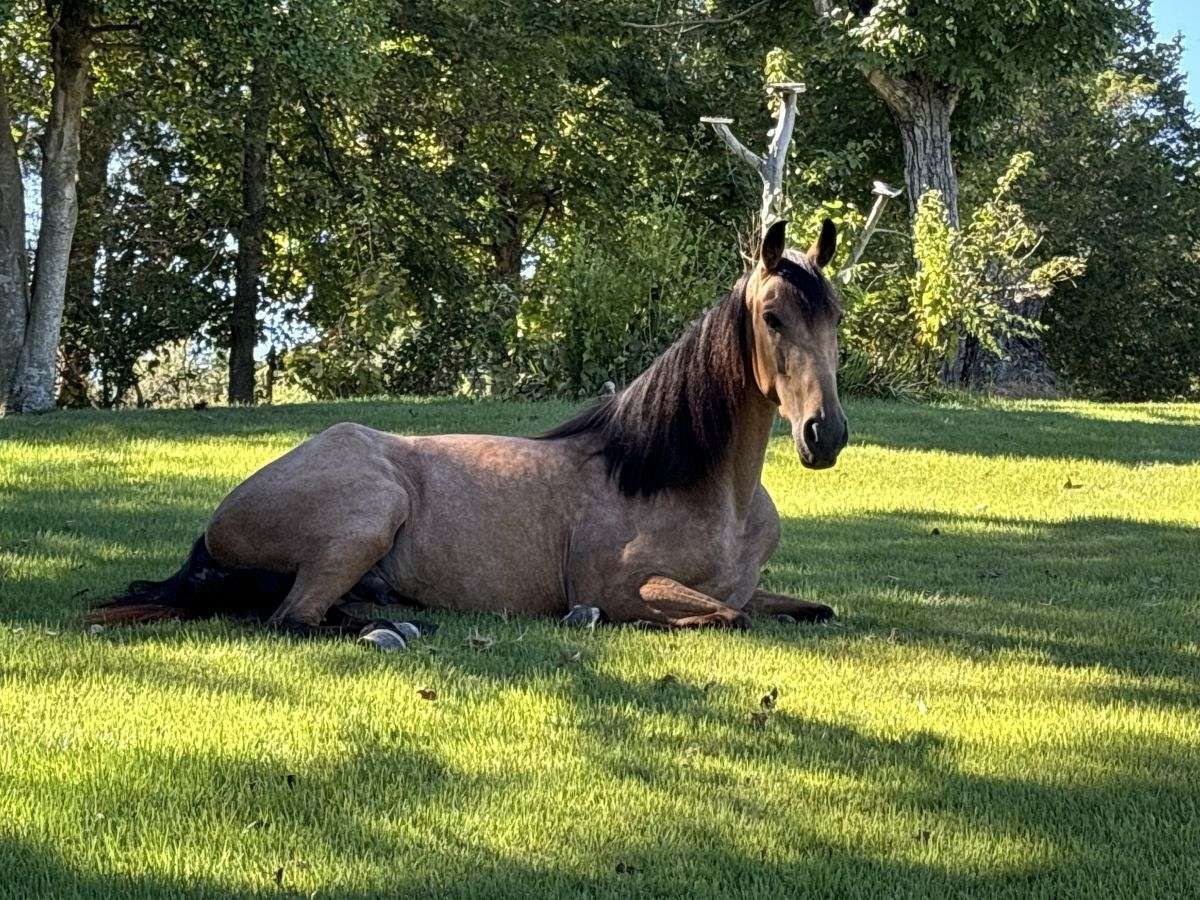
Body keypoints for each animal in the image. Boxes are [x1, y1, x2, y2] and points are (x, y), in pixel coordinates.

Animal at [91, 220, 844, 638]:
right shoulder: (623, 588)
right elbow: (728, 616)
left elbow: (807, 609)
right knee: (292, 622)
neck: (702, 491)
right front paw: (582, 618)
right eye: (773, 317)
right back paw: (395, 628)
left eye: (836, 314)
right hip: (368, 516)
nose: (824, 435)